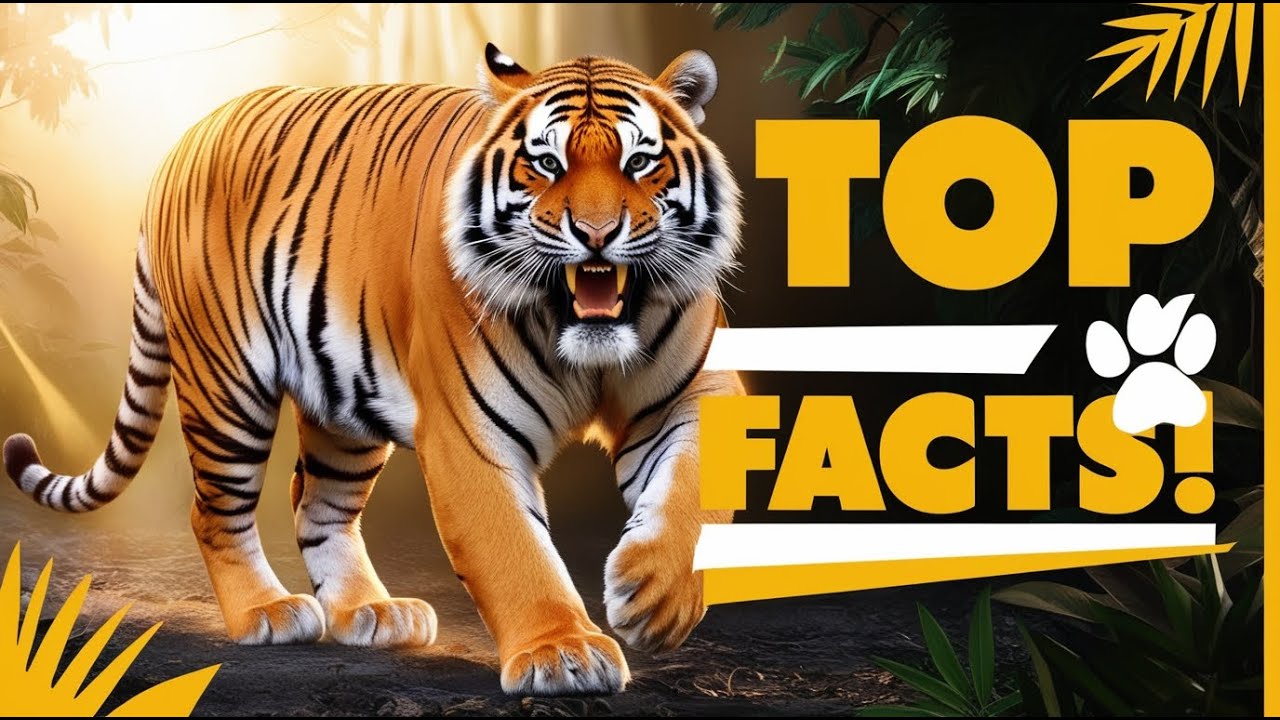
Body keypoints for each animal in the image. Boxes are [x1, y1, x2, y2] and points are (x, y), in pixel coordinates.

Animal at [2, 44, 742, 695]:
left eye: (641, 161)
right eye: (545, 163)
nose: (596, 234)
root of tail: (183, 141)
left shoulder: (695, 392)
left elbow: (693, 493)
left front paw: (655, 594)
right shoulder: (470, 435)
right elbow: (513, 548)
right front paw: (562, 653)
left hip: (344, 401)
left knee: (314, 503)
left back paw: (370, 612)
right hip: (228, 385)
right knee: (214, 510)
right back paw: (266, 612)